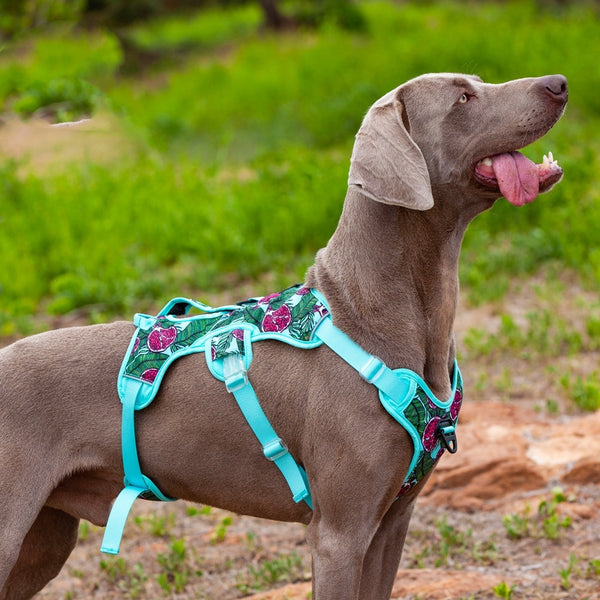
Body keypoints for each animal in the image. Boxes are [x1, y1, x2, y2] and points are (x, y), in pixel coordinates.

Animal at [0, 74, 568, 600]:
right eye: (463, 98)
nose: (559, 83)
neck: (375, 312)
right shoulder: (339, 534)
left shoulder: (392, 523)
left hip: (44, 538)